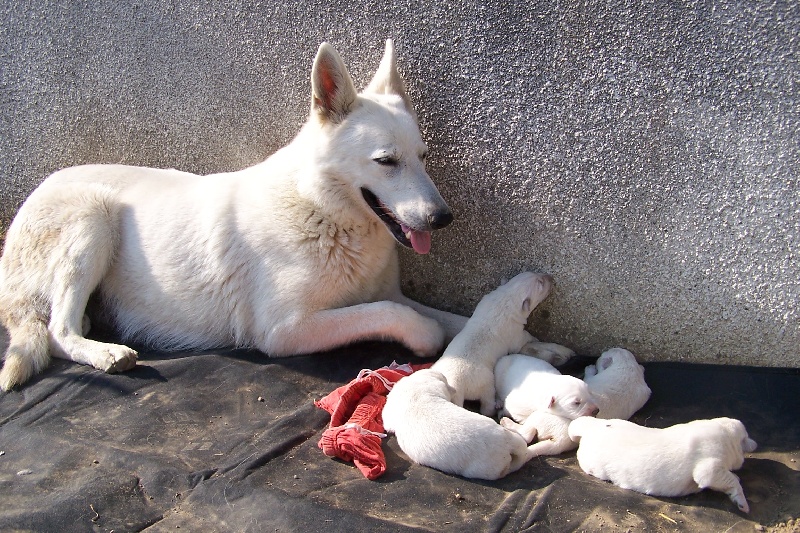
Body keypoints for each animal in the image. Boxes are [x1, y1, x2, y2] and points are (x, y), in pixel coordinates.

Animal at [0, 41, 504, 388]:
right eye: (386, 161)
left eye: (423, 157)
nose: (443, 218)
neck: (322, 213)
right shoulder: (286, 330)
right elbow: (393, 314)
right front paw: (426, 336)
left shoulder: (387, 293)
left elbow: (458, 317)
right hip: (93, 217)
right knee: (56, 330)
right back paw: (104, 354)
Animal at [568, 416, 756, 512]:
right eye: (745, 437)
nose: (755, 445)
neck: (725, 436)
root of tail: (589, 429)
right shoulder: (708, 469)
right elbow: (729, 479)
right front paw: (743, 504)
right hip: (594, 465)